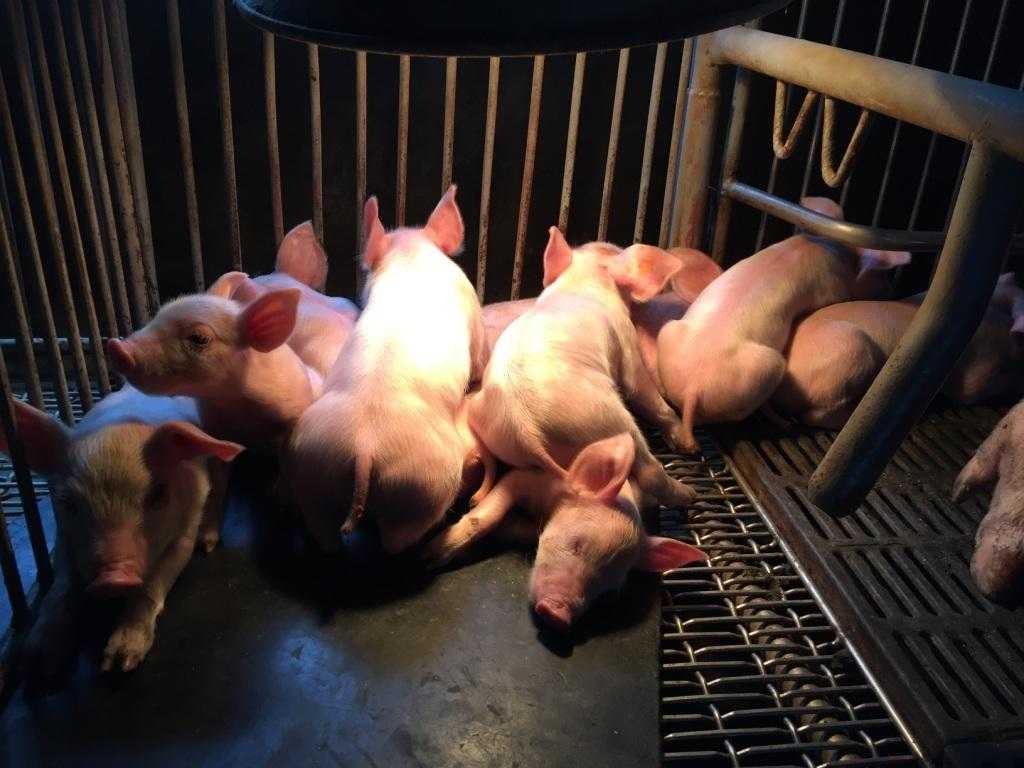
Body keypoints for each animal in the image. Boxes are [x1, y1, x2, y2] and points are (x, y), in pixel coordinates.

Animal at [0, 386, 242, 678]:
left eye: (157, 495)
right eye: (68, 502)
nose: (112, 577)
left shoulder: (186, 527)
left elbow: (153, 584)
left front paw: (119, 664)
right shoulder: (63, 538)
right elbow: (61, 587)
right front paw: (36, 663)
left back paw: (207, 543)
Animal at [284, 186, 488, 554]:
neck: (411, 258)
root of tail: (364, 448)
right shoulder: (474, 316)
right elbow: (480, 356)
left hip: (313, 471)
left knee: (324, 533)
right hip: (421, 487)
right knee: (397, 542)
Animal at [423, 433, 705, 630]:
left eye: (607, 591)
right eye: (577, 544)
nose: (558, 615)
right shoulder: (524, 477)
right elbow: (486, 515)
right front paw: (430, 556)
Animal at [468, 228, 696, 507]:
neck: (580, 282)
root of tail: (525, 432)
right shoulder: (626, 341)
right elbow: (643, 390)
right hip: (608, 421)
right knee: (649, 471)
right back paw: (689, 494)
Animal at [657, 197, 910, 453]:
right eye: (881, 274)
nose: (890, 290)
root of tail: (693, 388)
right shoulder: (830, 289)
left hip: (669, 331)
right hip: (770, 368)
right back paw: (785, 423)